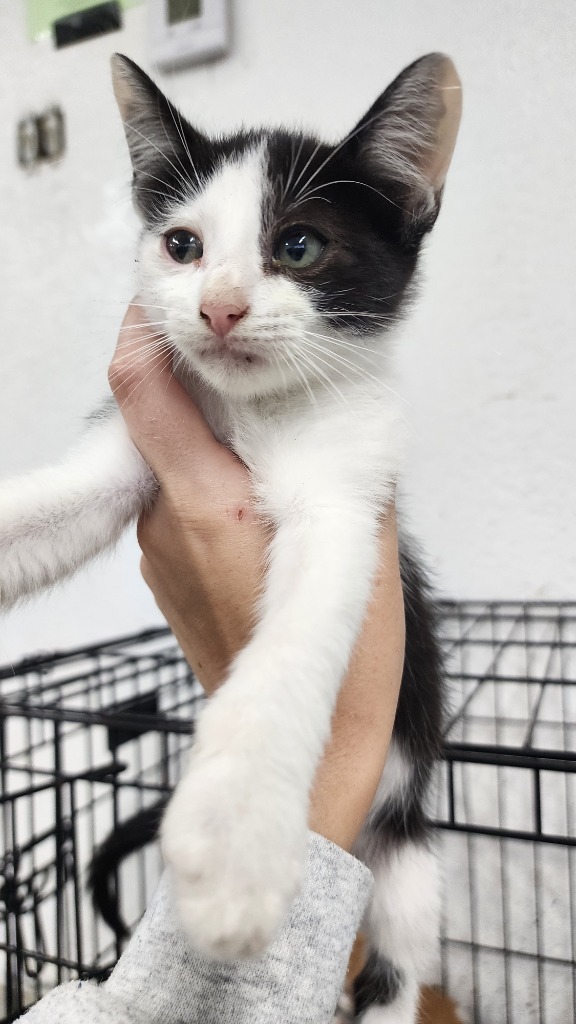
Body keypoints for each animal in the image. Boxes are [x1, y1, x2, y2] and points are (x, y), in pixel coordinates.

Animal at [0, 58, 457, 1024]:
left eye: (300, 247)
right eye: (183, 247)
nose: (218, 308)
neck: (257, 414)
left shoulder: (349, 497)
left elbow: (296, 643)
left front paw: (234, 842)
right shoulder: (133, 459)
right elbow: (45, 512)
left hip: (407, 854)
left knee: (400, 958)